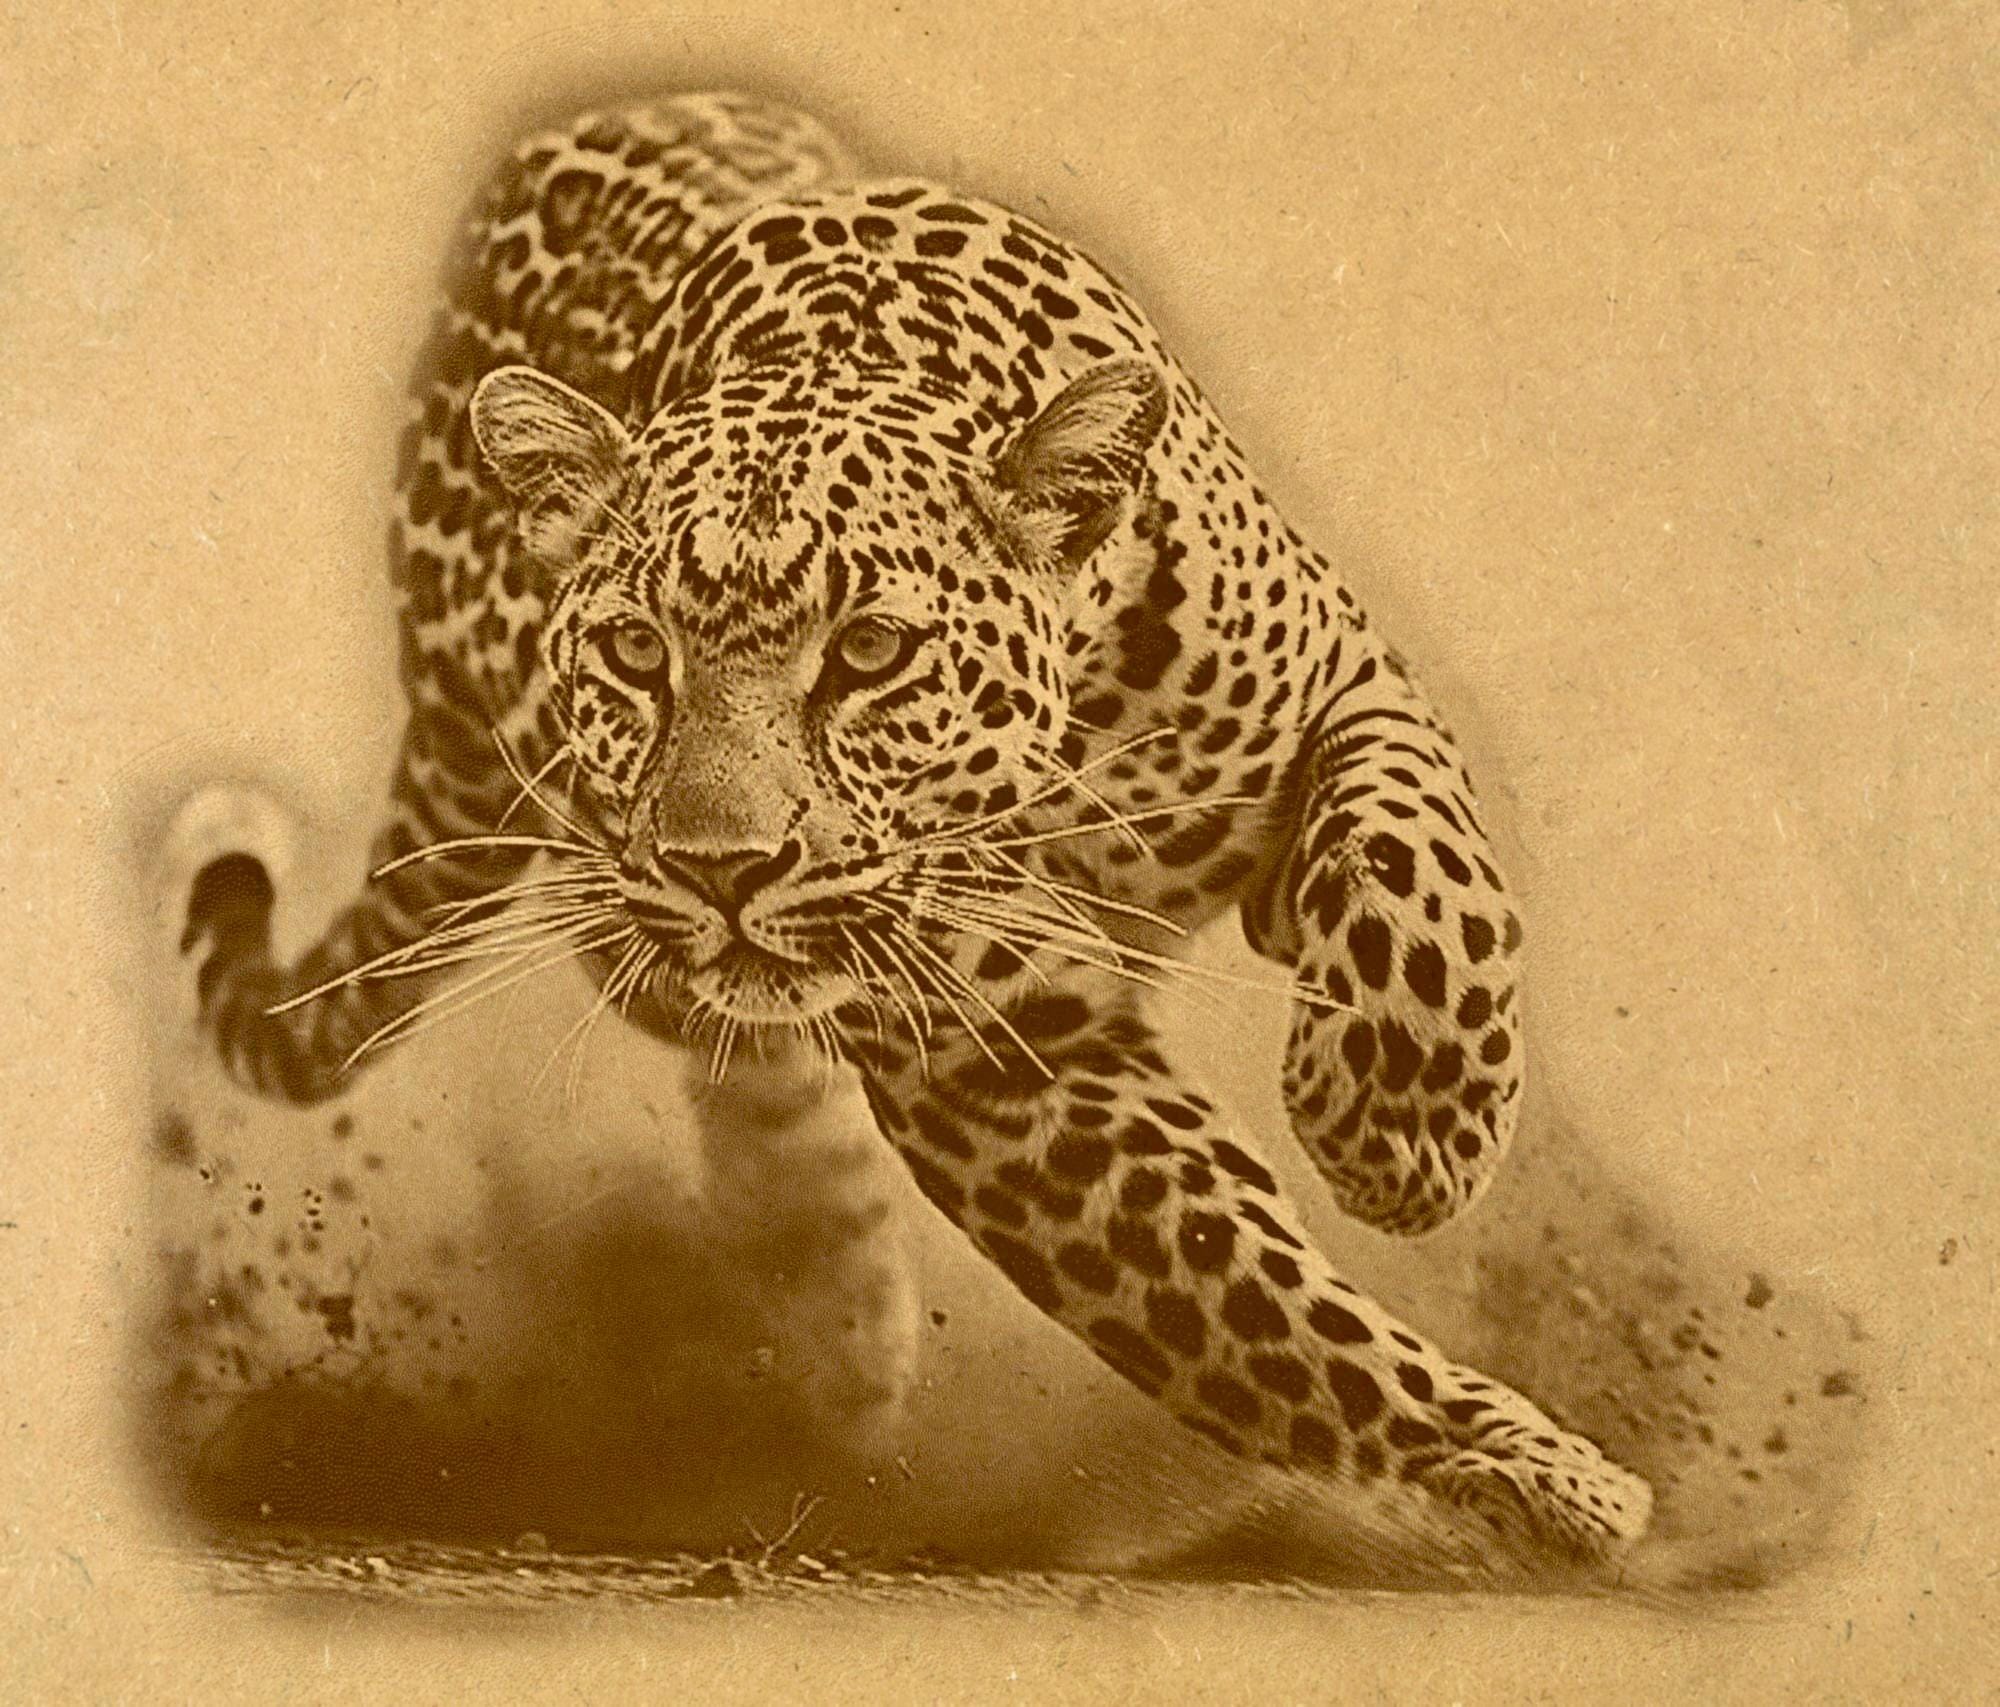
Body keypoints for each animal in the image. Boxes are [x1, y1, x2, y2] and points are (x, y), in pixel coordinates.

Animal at [174, 90, 1653, 1569]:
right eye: (637, 651)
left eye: (872, 651)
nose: (722, 869)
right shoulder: (992, 1055)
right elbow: (1254, 1306)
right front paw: (1529, 1471)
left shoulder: (1343, 682)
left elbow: (1426, 874)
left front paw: (1406, 1131)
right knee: (704, 1018)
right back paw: (841, 1325)